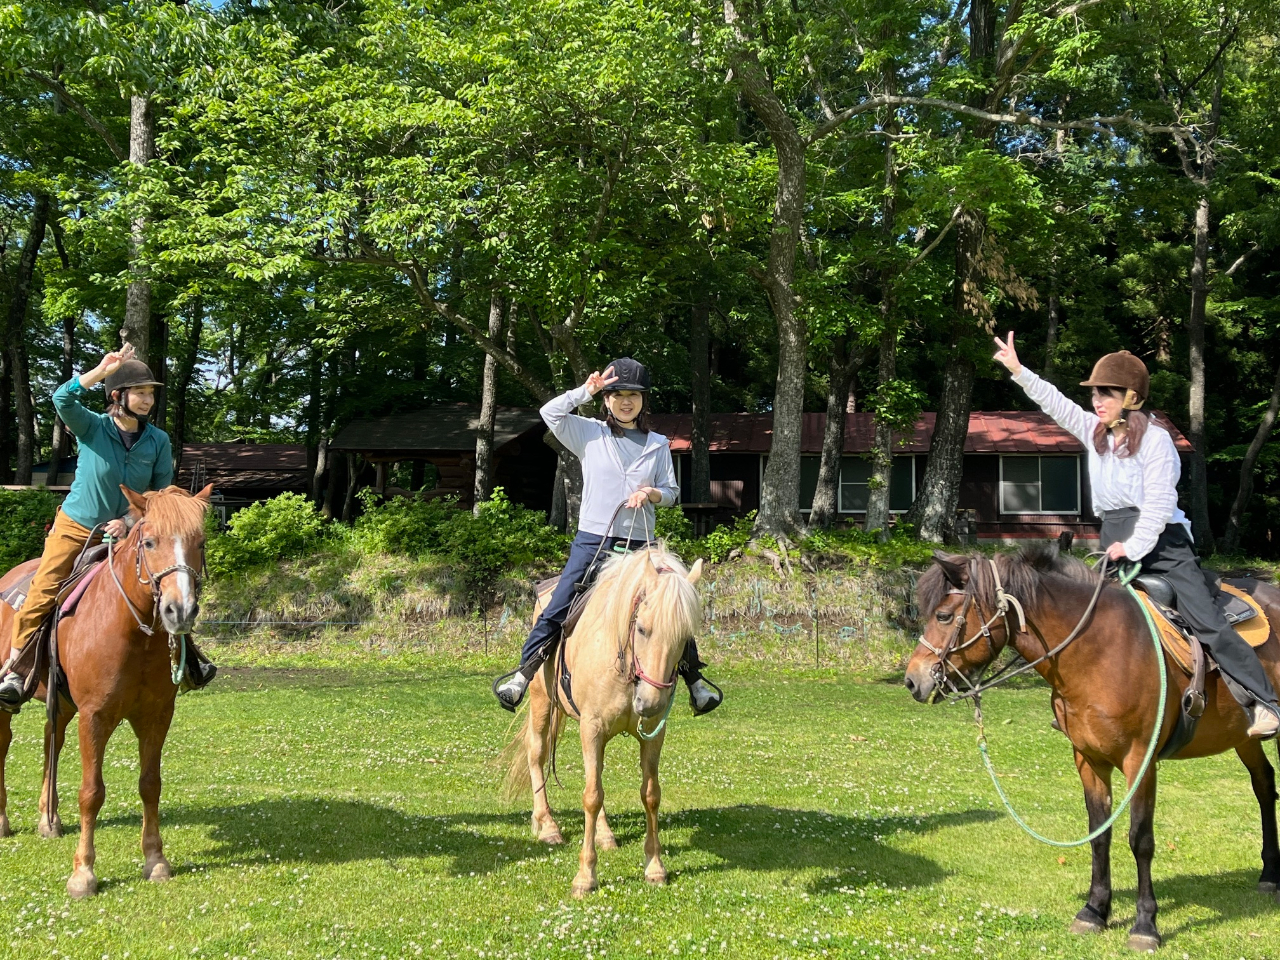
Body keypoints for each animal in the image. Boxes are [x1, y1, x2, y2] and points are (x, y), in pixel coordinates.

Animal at [0, 484, 212, 898]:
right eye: (149, 542)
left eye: (201, 542)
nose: (179, 611)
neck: (131, 632)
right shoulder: (95, 716)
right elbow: (91, 792)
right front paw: (83, 873)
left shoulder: (157, 714)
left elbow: (150, 784)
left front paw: (155, 860)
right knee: (3, 745)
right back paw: (3, 821)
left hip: (62, 704)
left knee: (51, 740)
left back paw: (49, 819)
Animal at [504, 544, 703, 897]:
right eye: (642, 628)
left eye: (684, 638)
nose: (650, 702)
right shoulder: (592, 728)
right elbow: (591, 796)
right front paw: (585, 876)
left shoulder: (652, 734)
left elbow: (650, 794)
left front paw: (655, 867)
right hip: (542, 703)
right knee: (537, 753)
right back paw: (547, 825)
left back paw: (605, 834)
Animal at [904, 545, 1280, 951]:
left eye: (943, 615)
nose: (912, 680)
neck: (1098, 651)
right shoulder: (1088, 759)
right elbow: (1100, 833)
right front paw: (1094, 910)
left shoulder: (1140, 761)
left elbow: (1140, 839)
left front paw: (1145, 924)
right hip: (1244, 738)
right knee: (1263, 785)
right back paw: (1269, 874)